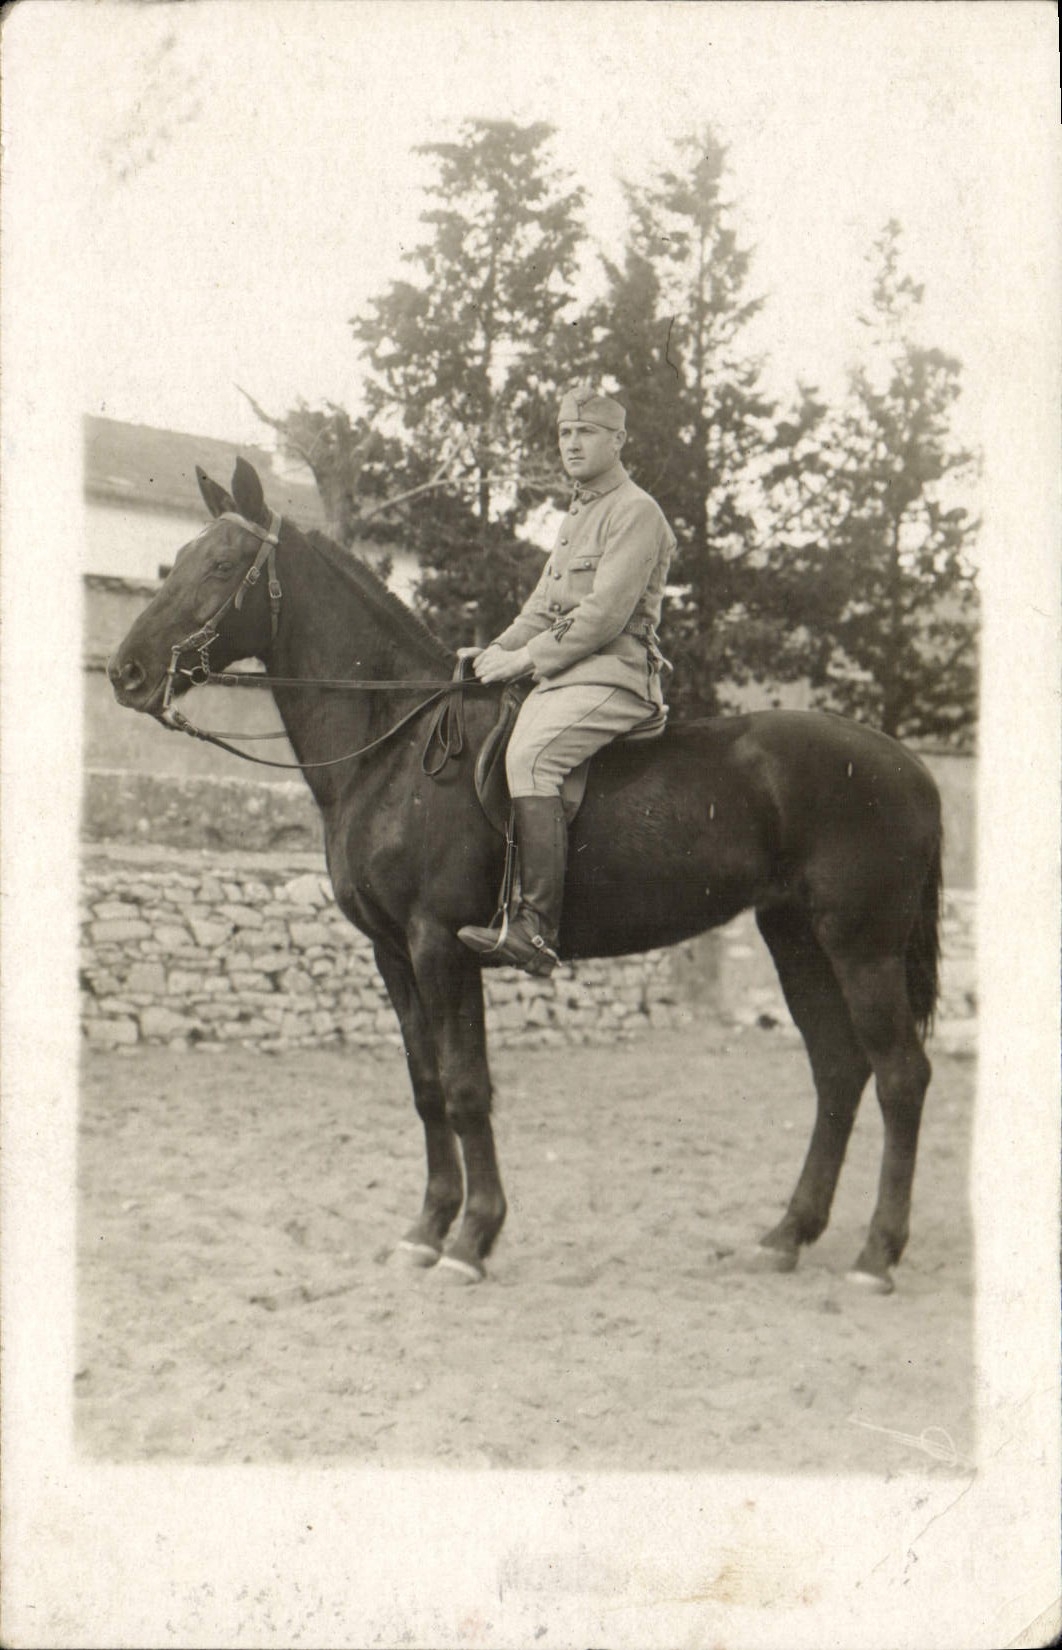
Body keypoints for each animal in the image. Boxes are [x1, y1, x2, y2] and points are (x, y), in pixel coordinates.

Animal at [107, 457, 943, 1294]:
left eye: (221, 565)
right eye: (176, 559)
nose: (125, 674)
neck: (395, 748)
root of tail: (905, 762)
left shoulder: (439, 944)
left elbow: (467, 1089)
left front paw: (473, 1237)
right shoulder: (391, 953)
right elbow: (427, 1087)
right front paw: (426, 1230)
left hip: (860, 947)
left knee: (900, 1075)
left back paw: (877, 1254)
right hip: (795, 937)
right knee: (838, 1072)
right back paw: (788, 1234)